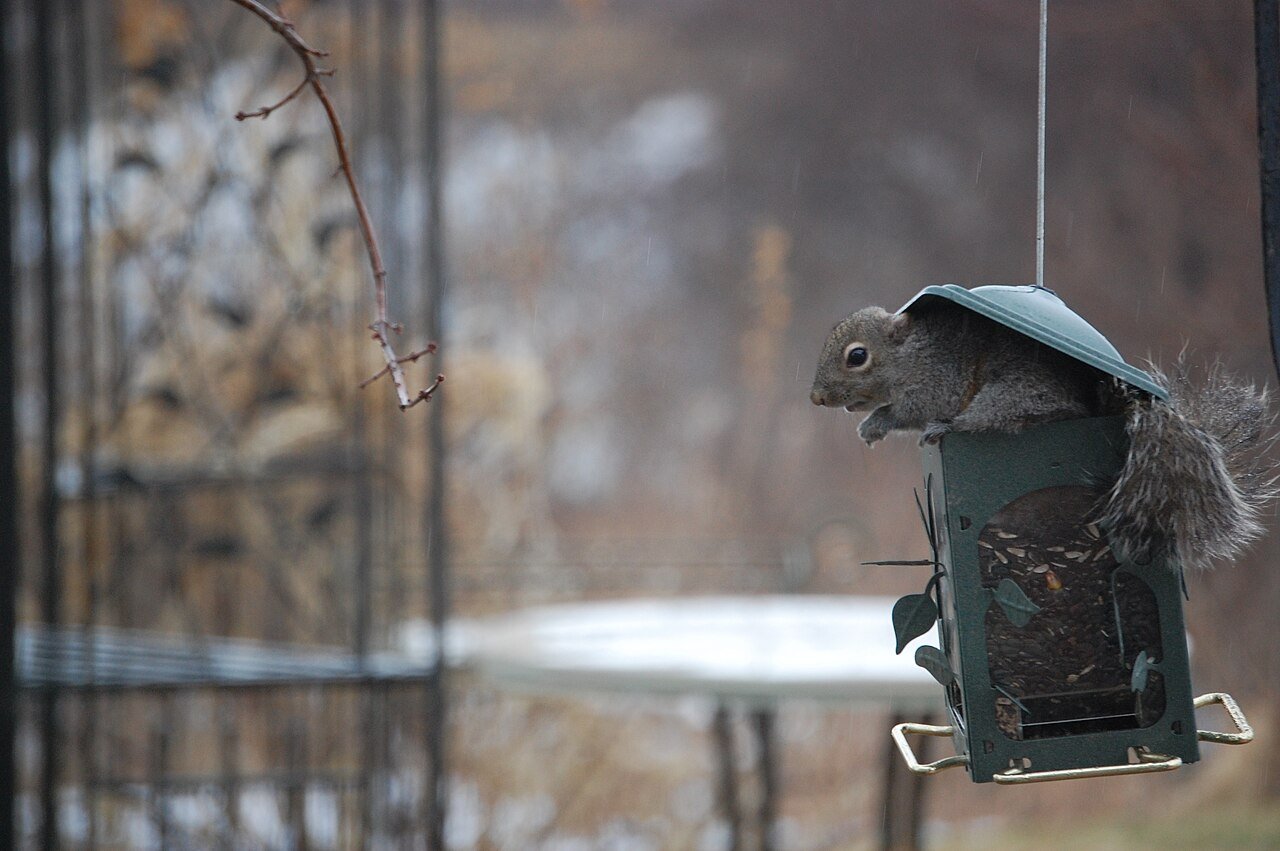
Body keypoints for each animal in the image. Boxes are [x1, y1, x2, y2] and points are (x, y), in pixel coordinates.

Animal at [810, 303, 1277, 571]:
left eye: (857, 356)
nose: (816, 398)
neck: (908, 356)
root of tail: (1087, 408)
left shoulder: (938, 381)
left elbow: (909, 411)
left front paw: (876, 423)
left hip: (1008, 395)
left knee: (997, 420)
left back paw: (949, 428)